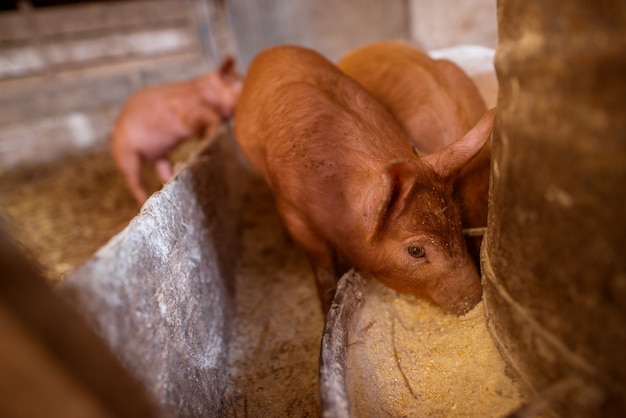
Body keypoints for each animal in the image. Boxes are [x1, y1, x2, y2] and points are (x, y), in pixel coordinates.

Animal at [233, 45, 492, 314]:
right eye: (416, 250)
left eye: (458, 222)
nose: (476, 298)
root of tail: (271, 51)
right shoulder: (293, 209)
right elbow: (322, 261)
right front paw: (327, 309)